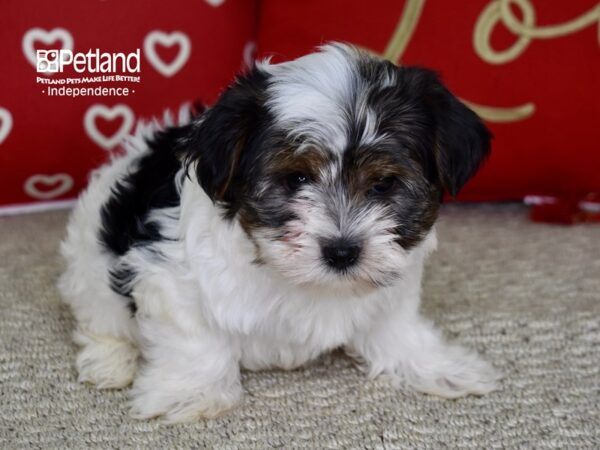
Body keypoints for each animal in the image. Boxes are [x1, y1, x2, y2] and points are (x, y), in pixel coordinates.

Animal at [58, 43, 496, 422]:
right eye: (296, 178)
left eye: (384, 184)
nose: (342, 251)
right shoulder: (172, 272)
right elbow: (194, 335)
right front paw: (193, 392)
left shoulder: (393, 284)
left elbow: (394, 325)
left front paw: (436, 365)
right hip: (89, 261)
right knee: (101, 318)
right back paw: (110, 362)